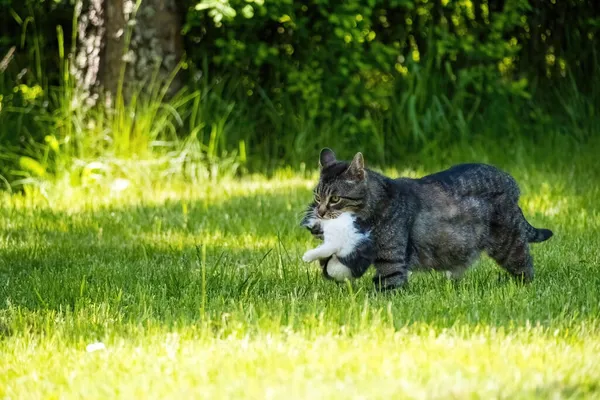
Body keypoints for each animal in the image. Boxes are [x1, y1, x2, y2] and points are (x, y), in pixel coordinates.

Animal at [300, 147, 552, 290]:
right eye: (317, 196)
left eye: (335, 199)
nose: (320, 212)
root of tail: (511, 182)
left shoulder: (391, 262)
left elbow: (387, 288)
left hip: (508, 245)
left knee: (525, 265)